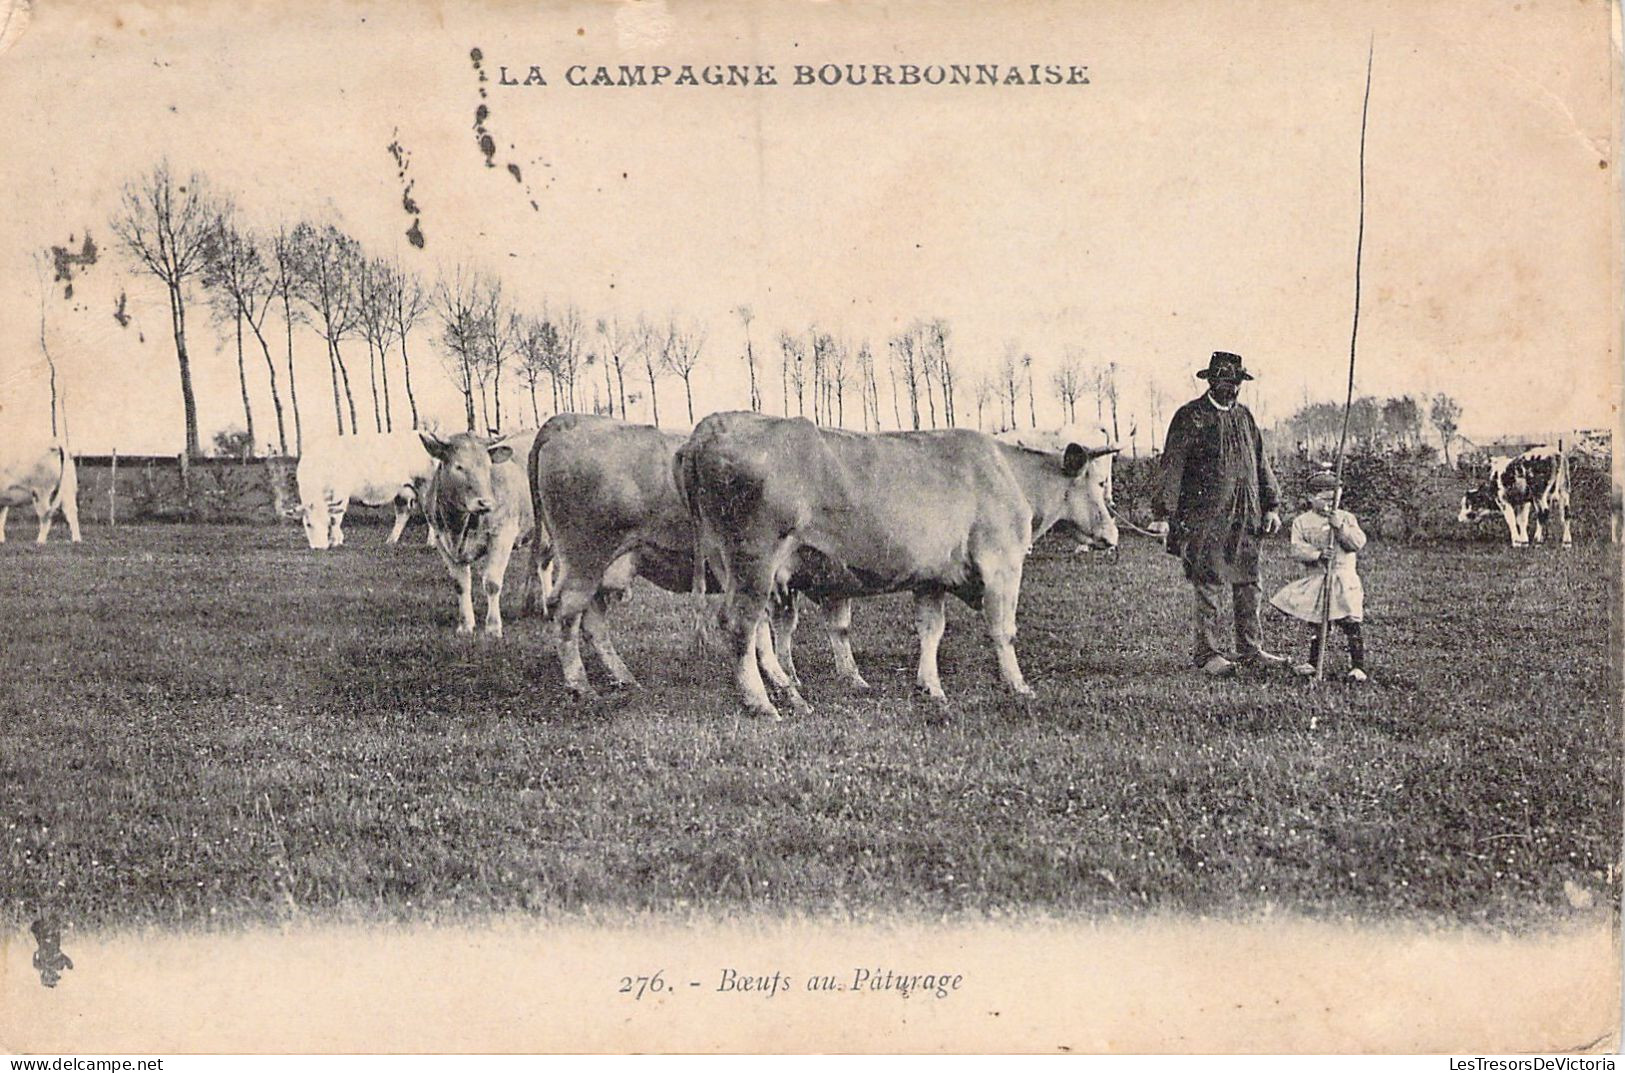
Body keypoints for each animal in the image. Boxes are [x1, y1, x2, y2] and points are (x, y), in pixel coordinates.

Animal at [295, 425, 438, 549]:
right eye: (308, 524)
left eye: (326, 522)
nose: (319, 547)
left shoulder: (341, 493)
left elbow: (336, 518)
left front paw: (336, 541)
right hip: (403, 491)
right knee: (403, 514)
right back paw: (390, 541)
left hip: (425, 485)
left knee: (430, 514)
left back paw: (431, 543)